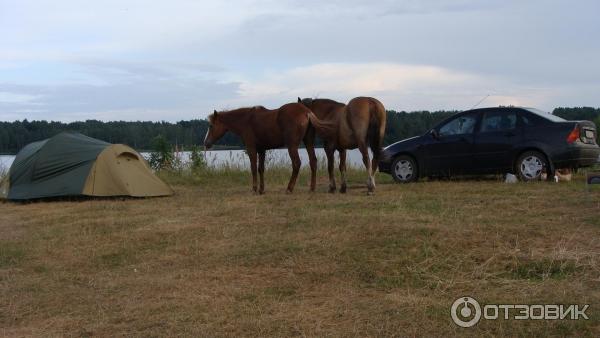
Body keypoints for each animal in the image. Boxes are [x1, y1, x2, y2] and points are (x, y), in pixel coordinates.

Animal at [202, 102, 332, 193]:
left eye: (211, 125)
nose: (206, 143)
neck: (246, 120)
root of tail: (306, 112)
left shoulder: (252, 149)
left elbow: (253, 168)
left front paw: (254, 189)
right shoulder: (261, 150)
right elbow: (261, 169)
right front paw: (261, 189)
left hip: (292, 145)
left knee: (297, 164)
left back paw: (289, 188)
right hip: (308, 142)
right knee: (313, 161)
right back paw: (312, 188)